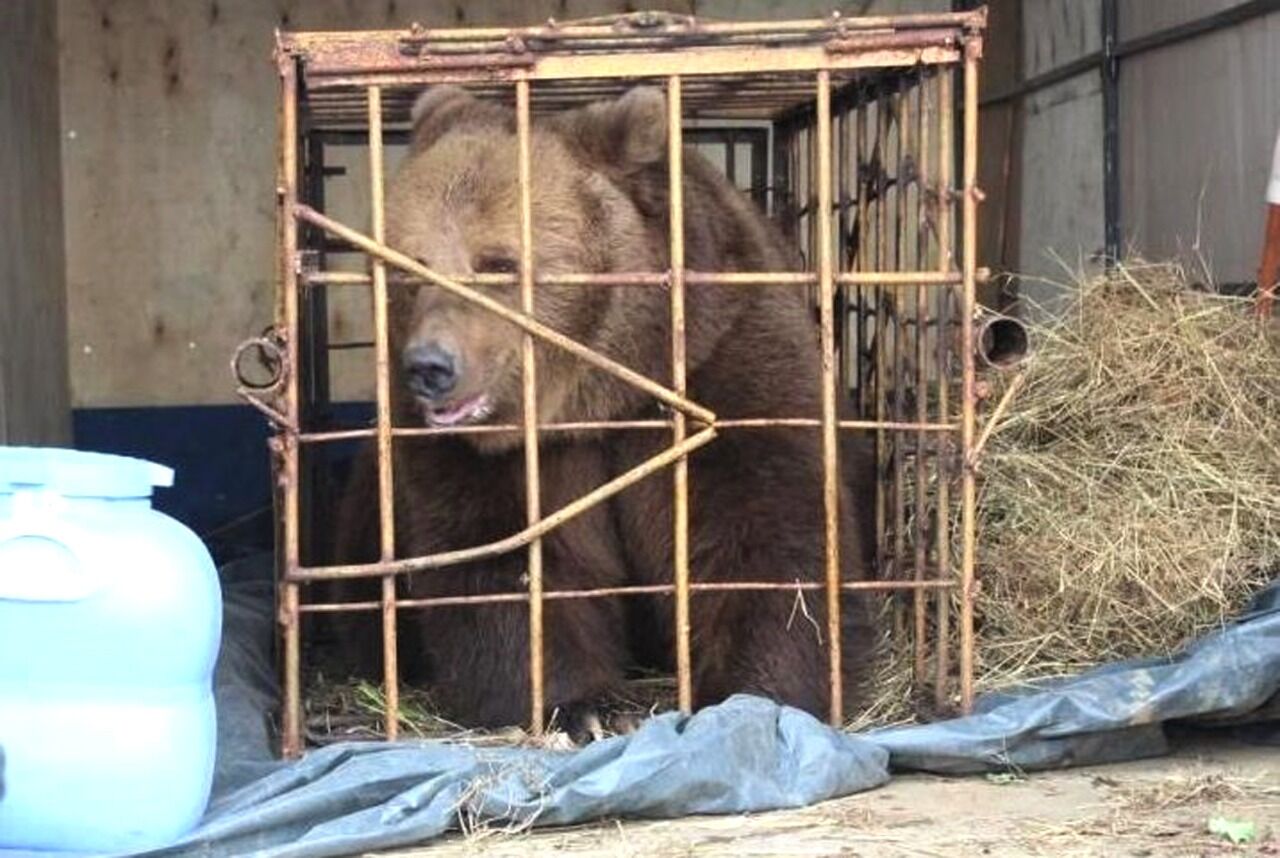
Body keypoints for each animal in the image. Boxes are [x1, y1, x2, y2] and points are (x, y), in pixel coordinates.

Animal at [322, 83, 880, 737]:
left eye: (498, 263)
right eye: (409, 269)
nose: (431, 366)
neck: (599, 394)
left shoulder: (722, 367)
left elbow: (760, 533)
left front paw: (755, 693)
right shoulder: (492, 455)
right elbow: (504, 556)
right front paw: (576, 706)